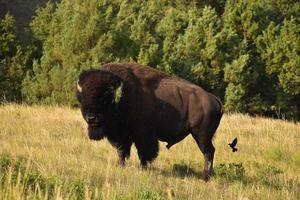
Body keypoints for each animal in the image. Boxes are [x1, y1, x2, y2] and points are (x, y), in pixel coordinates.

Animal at [76, 63, 223, 180]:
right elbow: (121, 152)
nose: (91, 118)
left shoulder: (143, 136)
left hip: (201, 135)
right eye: (82, 98)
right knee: (210, 151)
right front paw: (120, 166)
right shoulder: (121, 136)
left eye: (105, 98)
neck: (123, 95)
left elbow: (144, 153)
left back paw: (205, 177)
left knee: (208, 152)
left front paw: (143, 169)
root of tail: (214, 98)